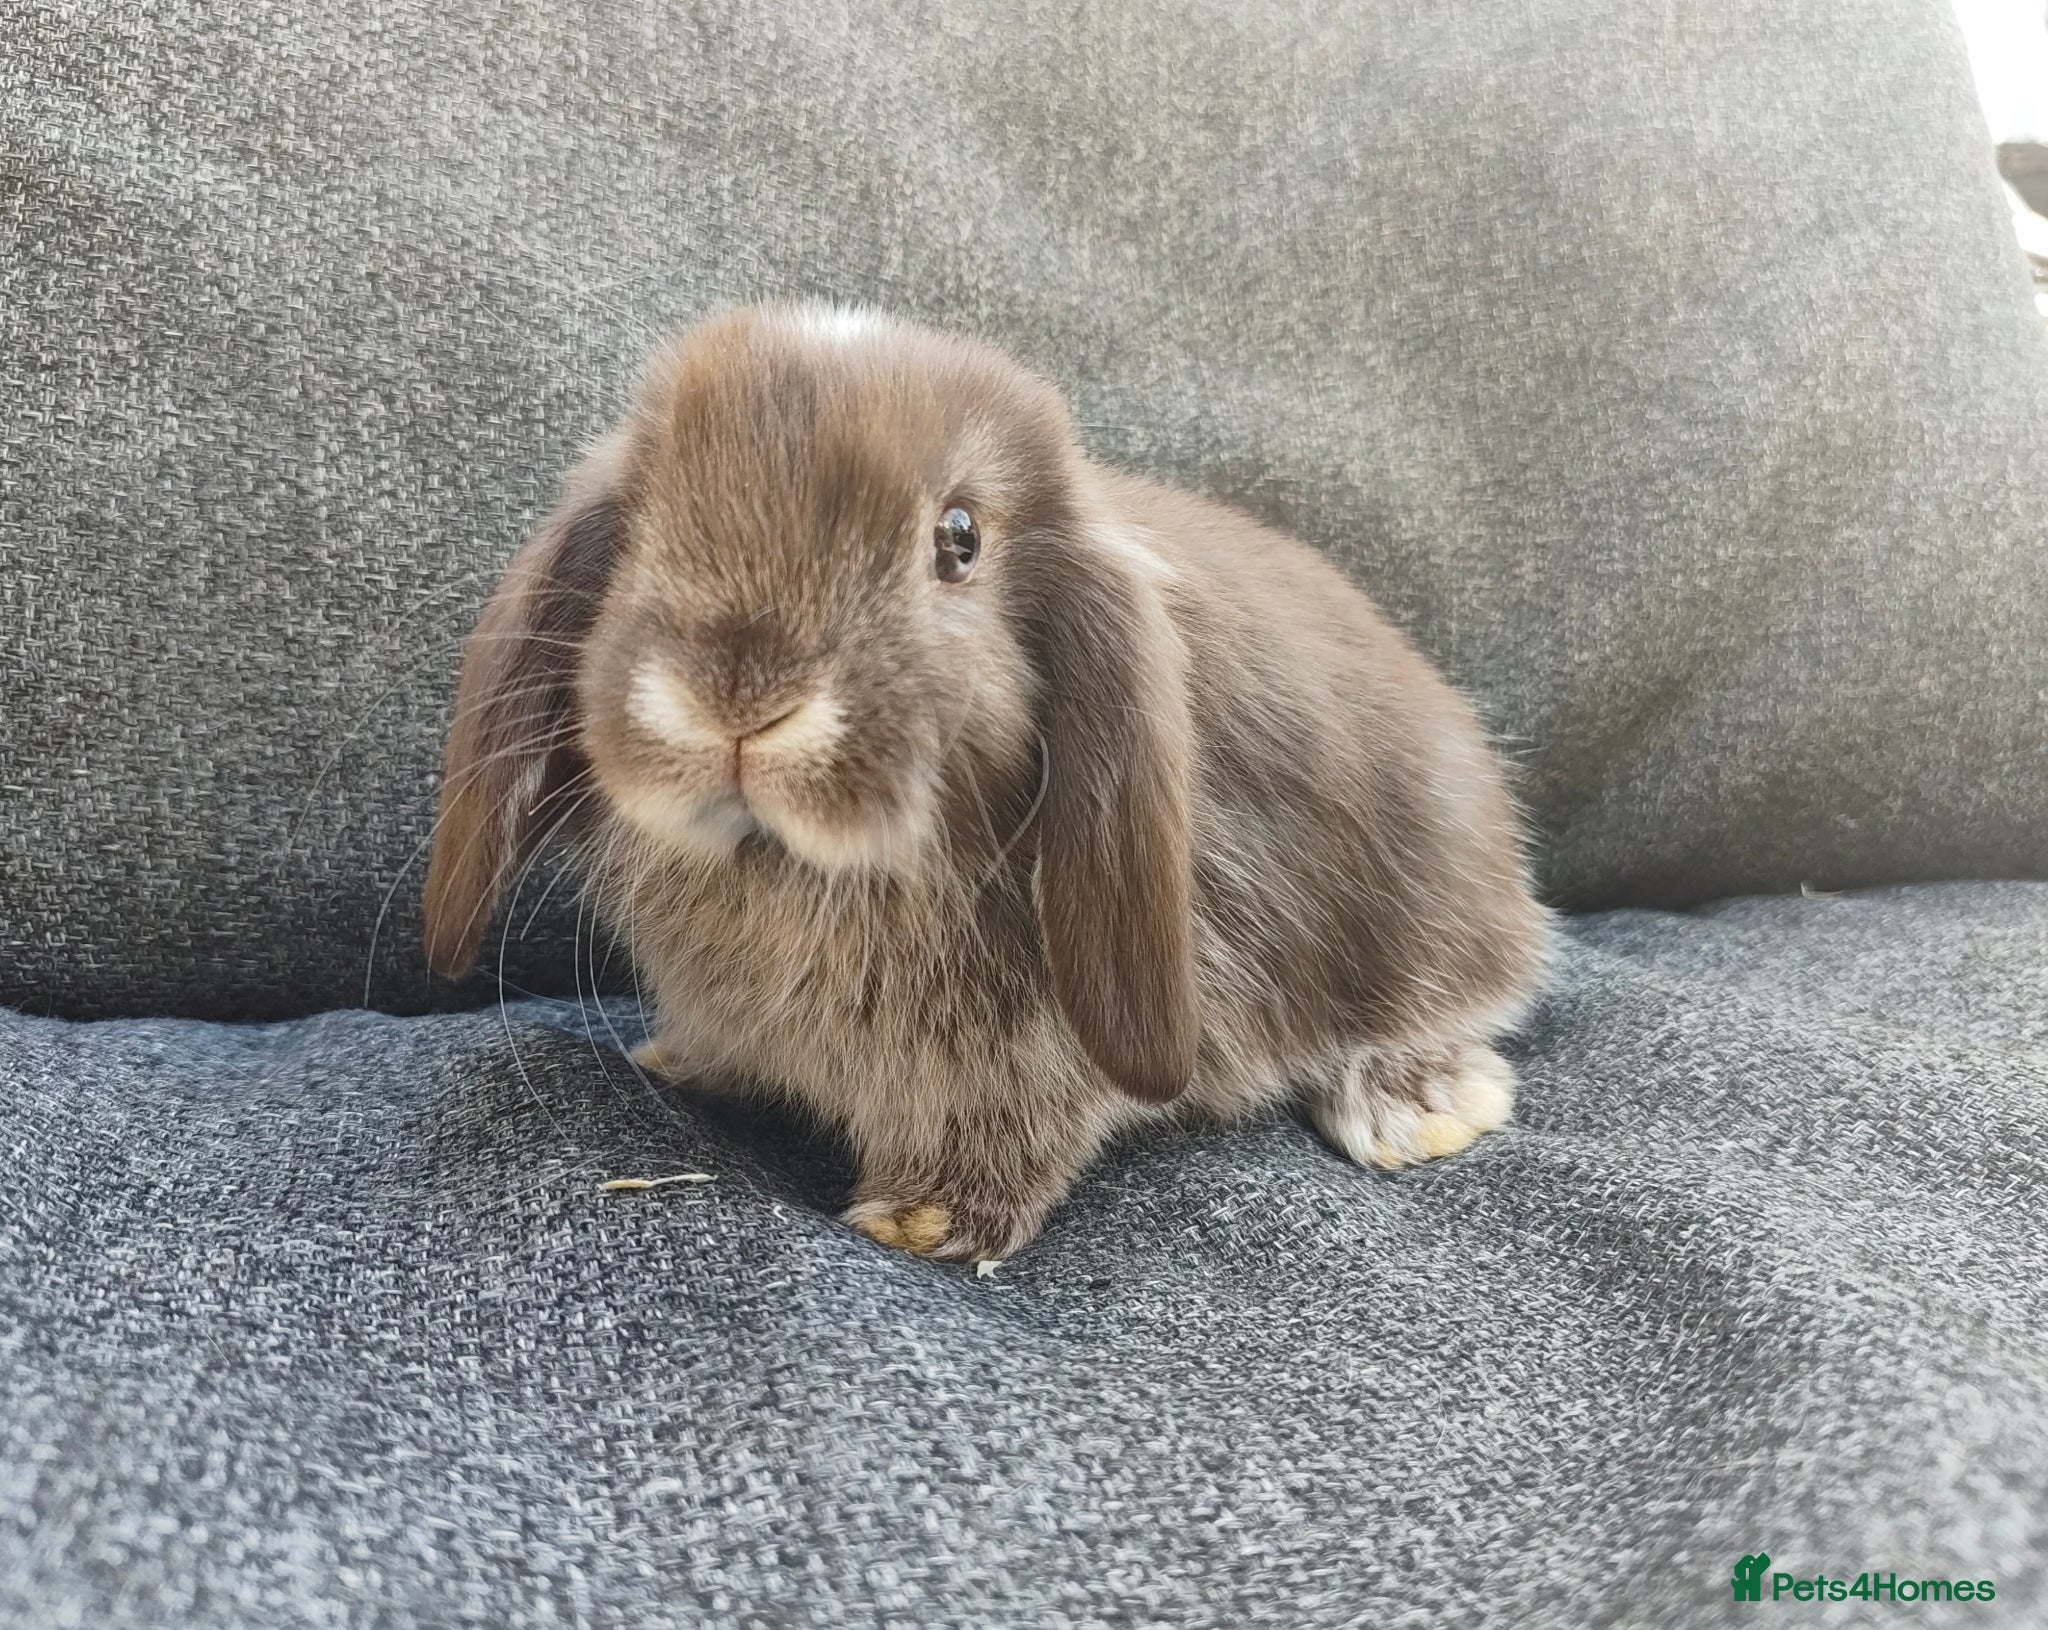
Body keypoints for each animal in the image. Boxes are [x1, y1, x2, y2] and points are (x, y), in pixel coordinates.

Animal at [423, 302, 1551, 1263]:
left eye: (957, 540)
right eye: (646, 520)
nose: (736, 697)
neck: (791, 865)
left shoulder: (1034, 1048)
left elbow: (1012, 1123)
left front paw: (919, 1221)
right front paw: (681, 1060)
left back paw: (1418, 1105)